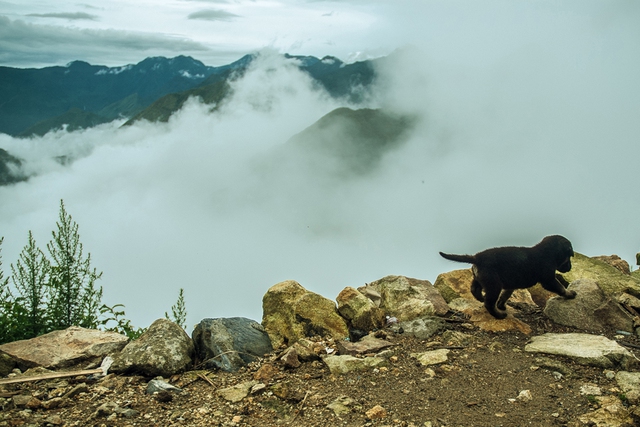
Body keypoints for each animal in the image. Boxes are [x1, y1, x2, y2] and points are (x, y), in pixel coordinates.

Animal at [438, 236, 576, 320]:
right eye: (569, 256)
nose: (570, 267)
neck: (548, 253)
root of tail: (476, 257)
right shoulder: (548, 279)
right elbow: (561, 288)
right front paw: (570, 294)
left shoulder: (511, 283)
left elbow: (505, 295)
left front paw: (501, 304)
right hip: (494, 284)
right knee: (488, 303)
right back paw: (498, 315)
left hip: (481, 278)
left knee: (474, 289)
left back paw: (481, 298)